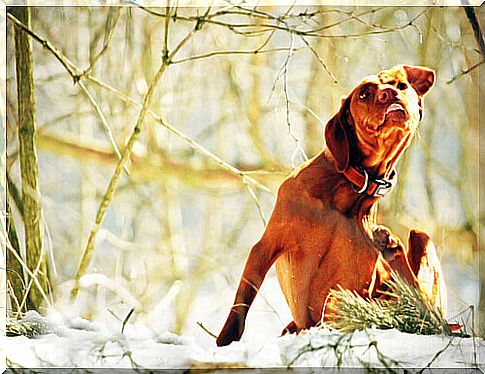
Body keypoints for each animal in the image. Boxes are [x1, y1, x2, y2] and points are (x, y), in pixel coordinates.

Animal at [216, 65, 446, 348]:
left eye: (401, 85)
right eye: (364, 93)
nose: (389, 94)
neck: (347, 193)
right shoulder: (266, 245)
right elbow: (241, 303)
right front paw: (225, 341)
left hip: (421, 240)